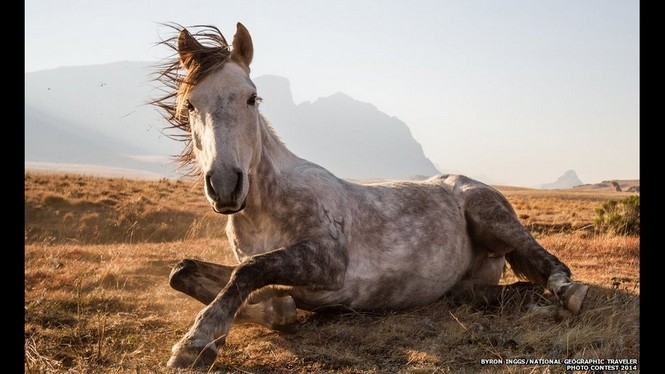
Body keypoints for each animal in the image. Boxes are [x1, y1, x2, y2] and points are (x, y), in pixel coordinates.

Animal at [150, 22, 588, 368]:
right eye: (191, 105)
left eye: (251, 97)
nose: (226, 185)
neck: (265, 207)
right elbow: (186, 271)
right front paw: (274, 310)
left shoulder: (328, 261)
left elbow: (248, 270)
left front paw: (197, 342)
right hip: (464, 284)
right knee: (489, 293)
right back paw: (529, 300)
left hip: (491, 214)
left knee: (549, 263)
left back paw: (567, 293)